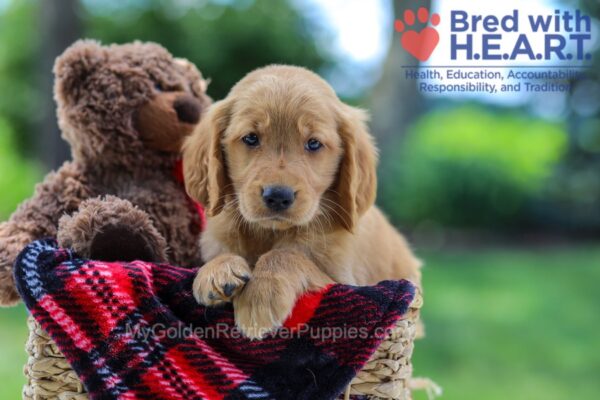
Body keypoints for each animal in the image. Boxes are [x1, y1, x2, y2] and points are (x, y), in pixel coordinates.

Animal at [184, 65, 422, 338]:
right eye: (251, 138)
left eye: (314, 143)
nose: (278, 196)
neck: (269, 233)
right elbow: (223, 253)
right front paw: (216, 270)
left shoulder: (342, 282)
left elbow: (286, 255)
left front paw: (260, 297)